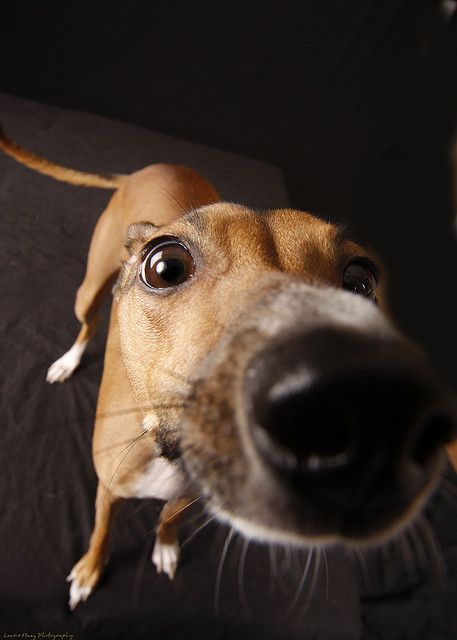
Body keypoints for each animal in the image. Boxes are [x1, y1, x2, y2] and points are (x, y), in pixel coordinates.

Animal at [1, 125, 454, 608]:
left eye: (360, 280)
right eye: (164, 266)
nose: (370, 400)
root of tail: (144, 170)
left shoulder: (189, 497)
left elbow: (169, 516)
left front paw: (165, 545)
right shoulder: (108, 489)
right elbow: (102, 531)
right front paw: (90, 569)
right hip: (88, 290)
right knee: (87, 323)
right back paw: (68, 362)